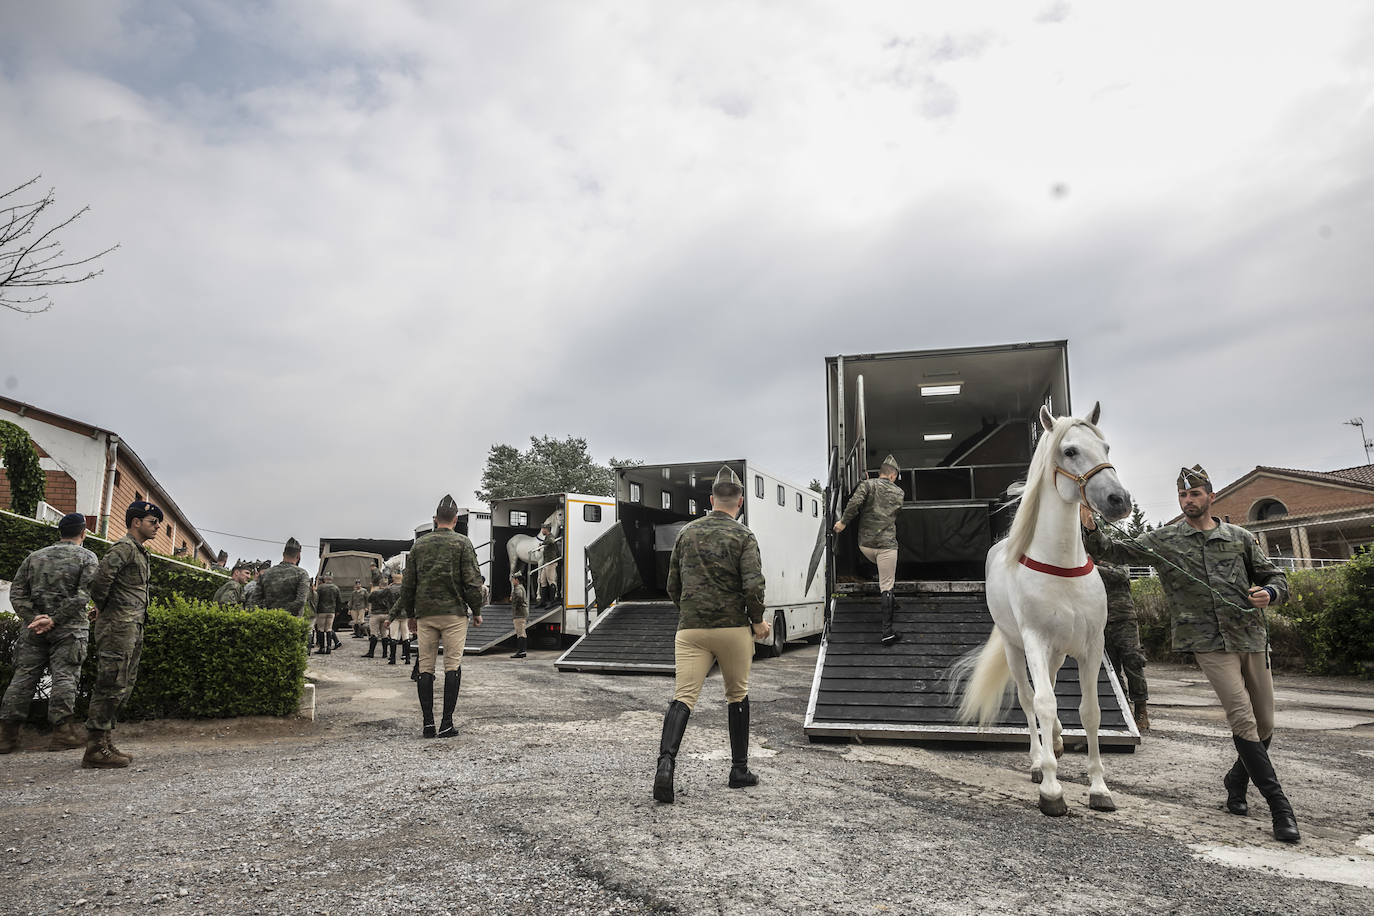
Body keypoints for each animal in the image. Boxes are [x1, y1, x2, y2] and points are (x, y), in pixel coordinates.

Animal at [950, 403, 1132, 818]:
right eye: (1070, 450)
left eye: (1106, 447)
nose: (1119, 500)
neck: (1061, 565)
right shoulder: (1034, 640)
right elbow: (1043, 703)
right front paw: (1051, 789)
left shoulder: (1091, 647)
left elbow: (1090, 711)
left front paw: (1099, 788)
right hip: (1017, 649)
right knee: (1027, 696)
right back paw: (1038, 760)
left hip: (1057, 652)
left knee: (1047, 688)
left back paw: (1059, 741)